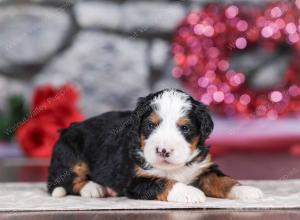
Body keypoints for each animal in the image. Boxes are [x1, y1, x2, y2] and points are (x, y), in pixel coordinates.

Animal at [48, 89, 264, 203]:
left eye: (185, 128)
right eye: (151, 125)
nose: (163, 150)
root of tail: (67, 129)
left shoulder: (203, 168)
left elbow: (223, 180)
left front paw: (246, 191)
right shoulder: (135, 180)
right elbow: (163, 182)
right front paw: (190, 192)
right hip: (71, 152)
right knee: (66, 181)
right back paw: (94, 188)